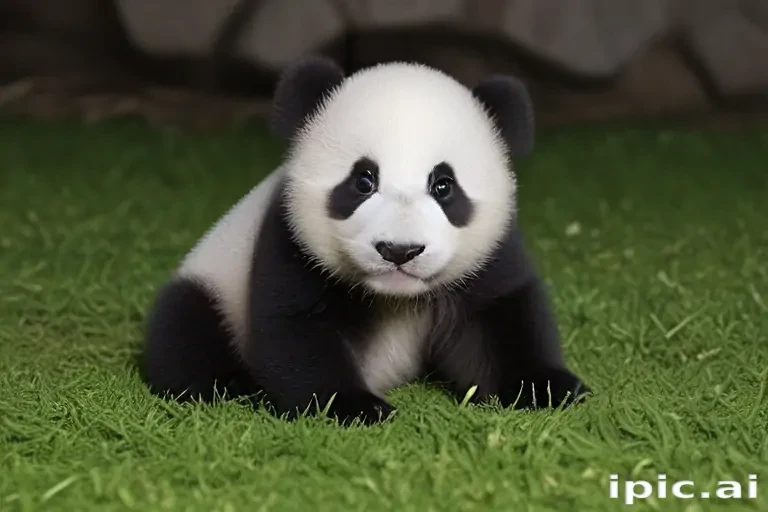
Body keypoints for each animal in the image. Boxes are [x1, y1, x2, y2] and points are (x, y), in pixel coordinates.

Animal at [142, 55, 591, 425]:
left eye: (444, 185)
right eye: (363, 181)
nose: (400, 251)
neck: (395, 297)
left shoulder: (490, 255)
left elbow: (499, 317)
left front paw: (551, 389)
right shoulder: (288, 241)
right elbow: (297, 328)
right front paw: (355, 408)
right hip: (213, 281)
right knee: (185, 330)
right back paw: (232, 385)